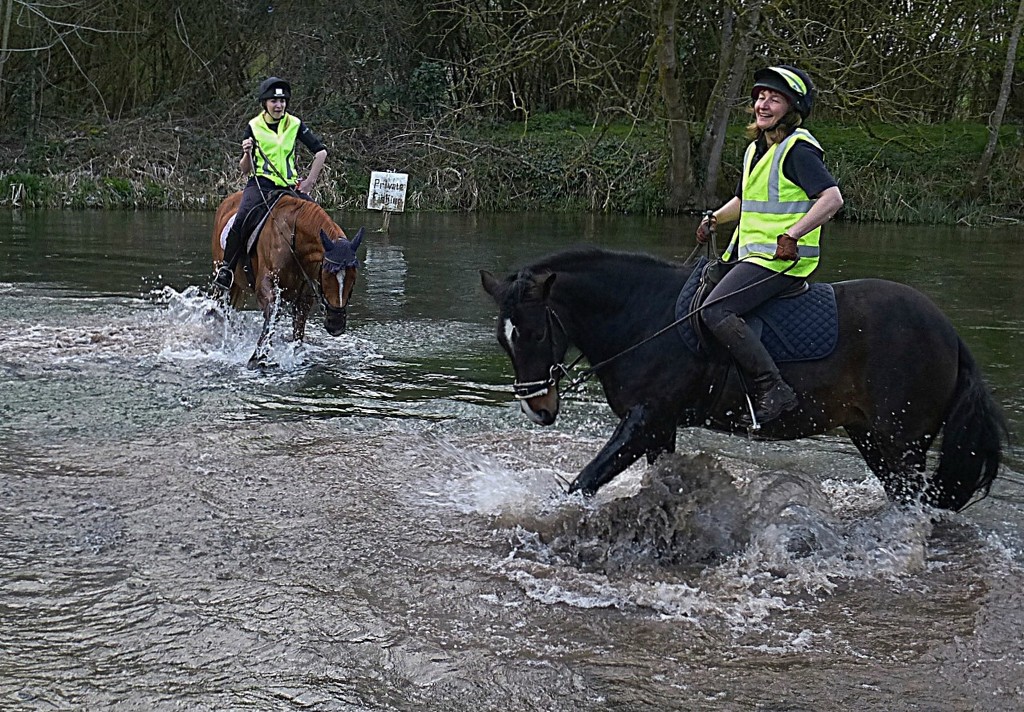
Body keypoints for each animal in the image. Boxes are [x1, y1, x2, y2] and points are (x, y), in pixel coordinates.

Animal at [209, 190, 366, 366]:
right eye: (327, 275)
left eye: (353, 278)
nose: (336, 325)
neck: (293, 240)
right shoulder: (265, 286)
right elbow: (272, 314)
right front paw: (258, 356)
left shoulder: (304, 297)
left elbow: (298, 328)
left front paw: (295, 353)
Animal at [481, 247, 1007, 510]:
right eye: (504, 340)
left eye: (533, 332)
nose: (538, 408)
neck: (644, 315)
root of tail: (949, 334)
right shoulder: (659, 427)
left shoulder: (644, 419)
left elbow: (585, 481)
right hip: (874, 438)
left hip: (902, 441)